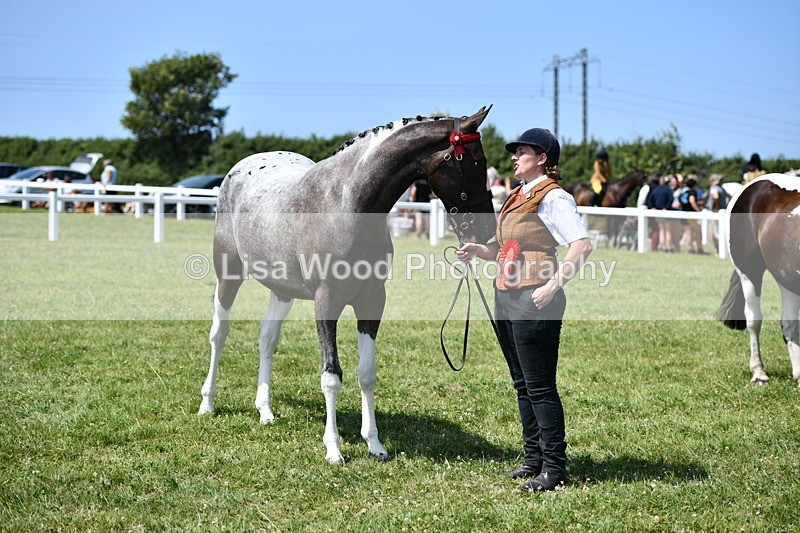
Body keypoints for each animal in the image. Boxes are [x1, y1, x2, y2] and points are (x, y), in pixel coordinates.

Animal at [197, 107, 498, 464]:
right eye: (476, 162)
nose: (488, 231)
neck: (347, 203)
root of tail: (241, 167)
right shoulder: (327, 302)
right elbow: (331, 375)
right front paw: (333, 448)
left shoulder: (372, 301)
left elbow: (366, 373)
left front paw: (375, 444)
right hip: (228, 274)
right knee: (219, 335)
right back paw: (207, 403)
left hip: (282, 290)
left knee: (267, 341)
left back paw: (265, 410)